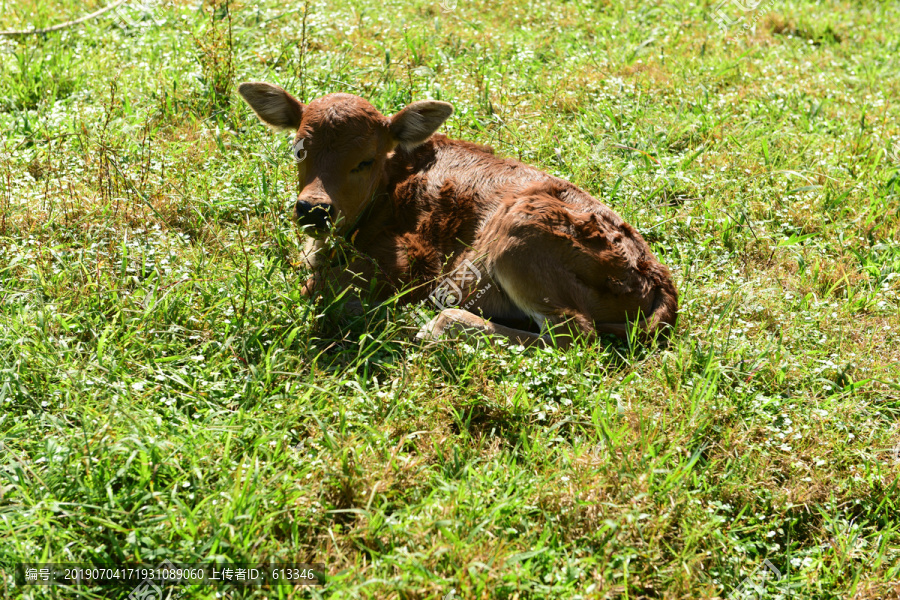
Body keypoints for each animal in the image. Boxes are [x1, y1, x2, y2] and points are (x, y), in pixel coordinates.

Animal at [237, 83, 676, 346]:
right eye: (299, 150)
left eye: (365, 160)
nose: (314, 209)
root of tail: (655, 278)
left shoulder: (412, 263)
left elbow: (316, 287)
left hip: (518, 239)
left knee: (573, 334)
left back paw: (433, 325)